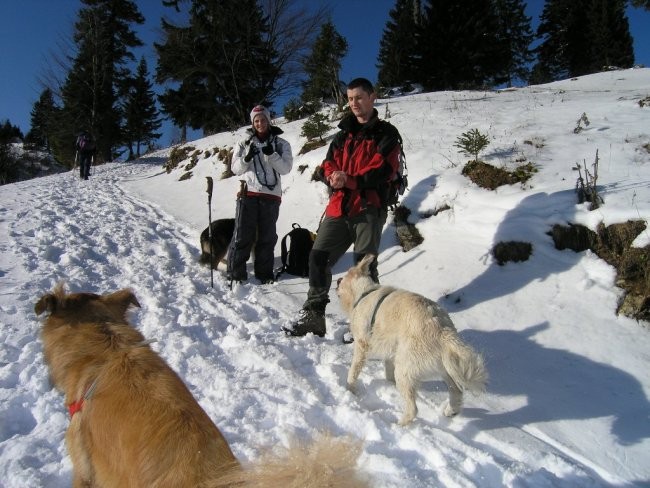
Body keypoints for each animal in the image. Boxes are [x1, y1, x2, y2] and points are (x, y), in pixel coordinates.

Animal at [336, 255, 484, 424]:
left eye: (342, 279)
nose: (337, 280)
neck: (364, 293)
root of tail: (443, 331)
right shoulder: (390, 352)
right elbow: (388, 371)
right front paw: (389, 385)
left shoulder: (362, 345)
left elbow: (353, 372)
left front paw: (349, 388)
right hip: (443, 368)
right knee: (457, 390)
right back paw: (450, 411)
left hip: (405, 369)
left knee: (413, 409)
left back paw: (398, 424)